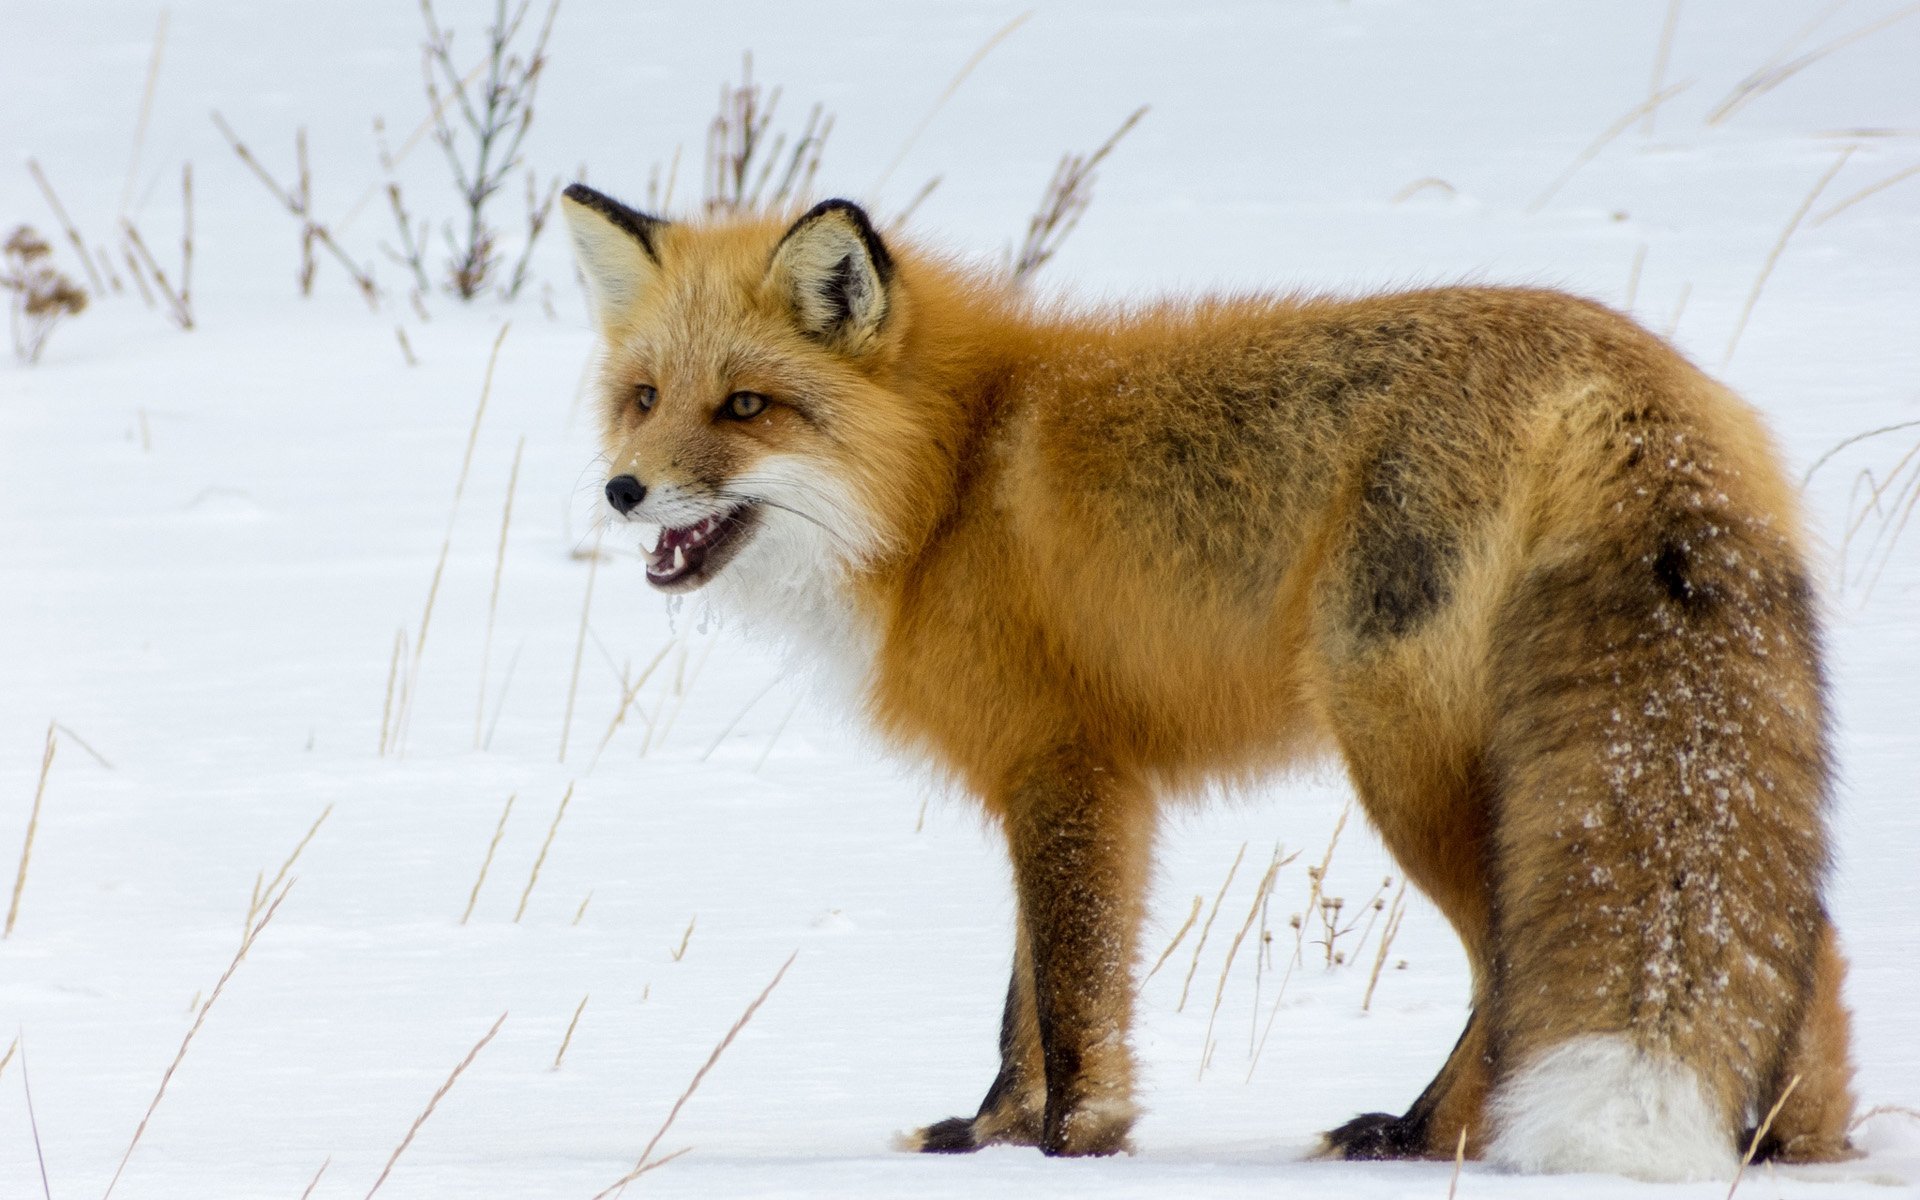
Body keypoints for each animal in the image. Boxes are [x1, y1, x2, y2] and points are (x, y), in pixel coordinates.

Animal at [559, 182, 1858, 1180]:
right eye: (643, 398)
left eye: (746, 406)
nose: (623, 491)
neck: (948, 479)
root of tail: (1633, 382)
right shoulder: (1066, 776)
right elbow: (1022, 1008)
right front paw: (990, 1138)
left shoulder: (1067, 771)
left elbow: (1070, 1000)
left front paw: (1072, 1149)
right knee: (1801, 939)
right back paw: (1791, 1149)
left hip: (1412, 763)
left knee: (1514, 965)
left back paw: (1426, 1138)